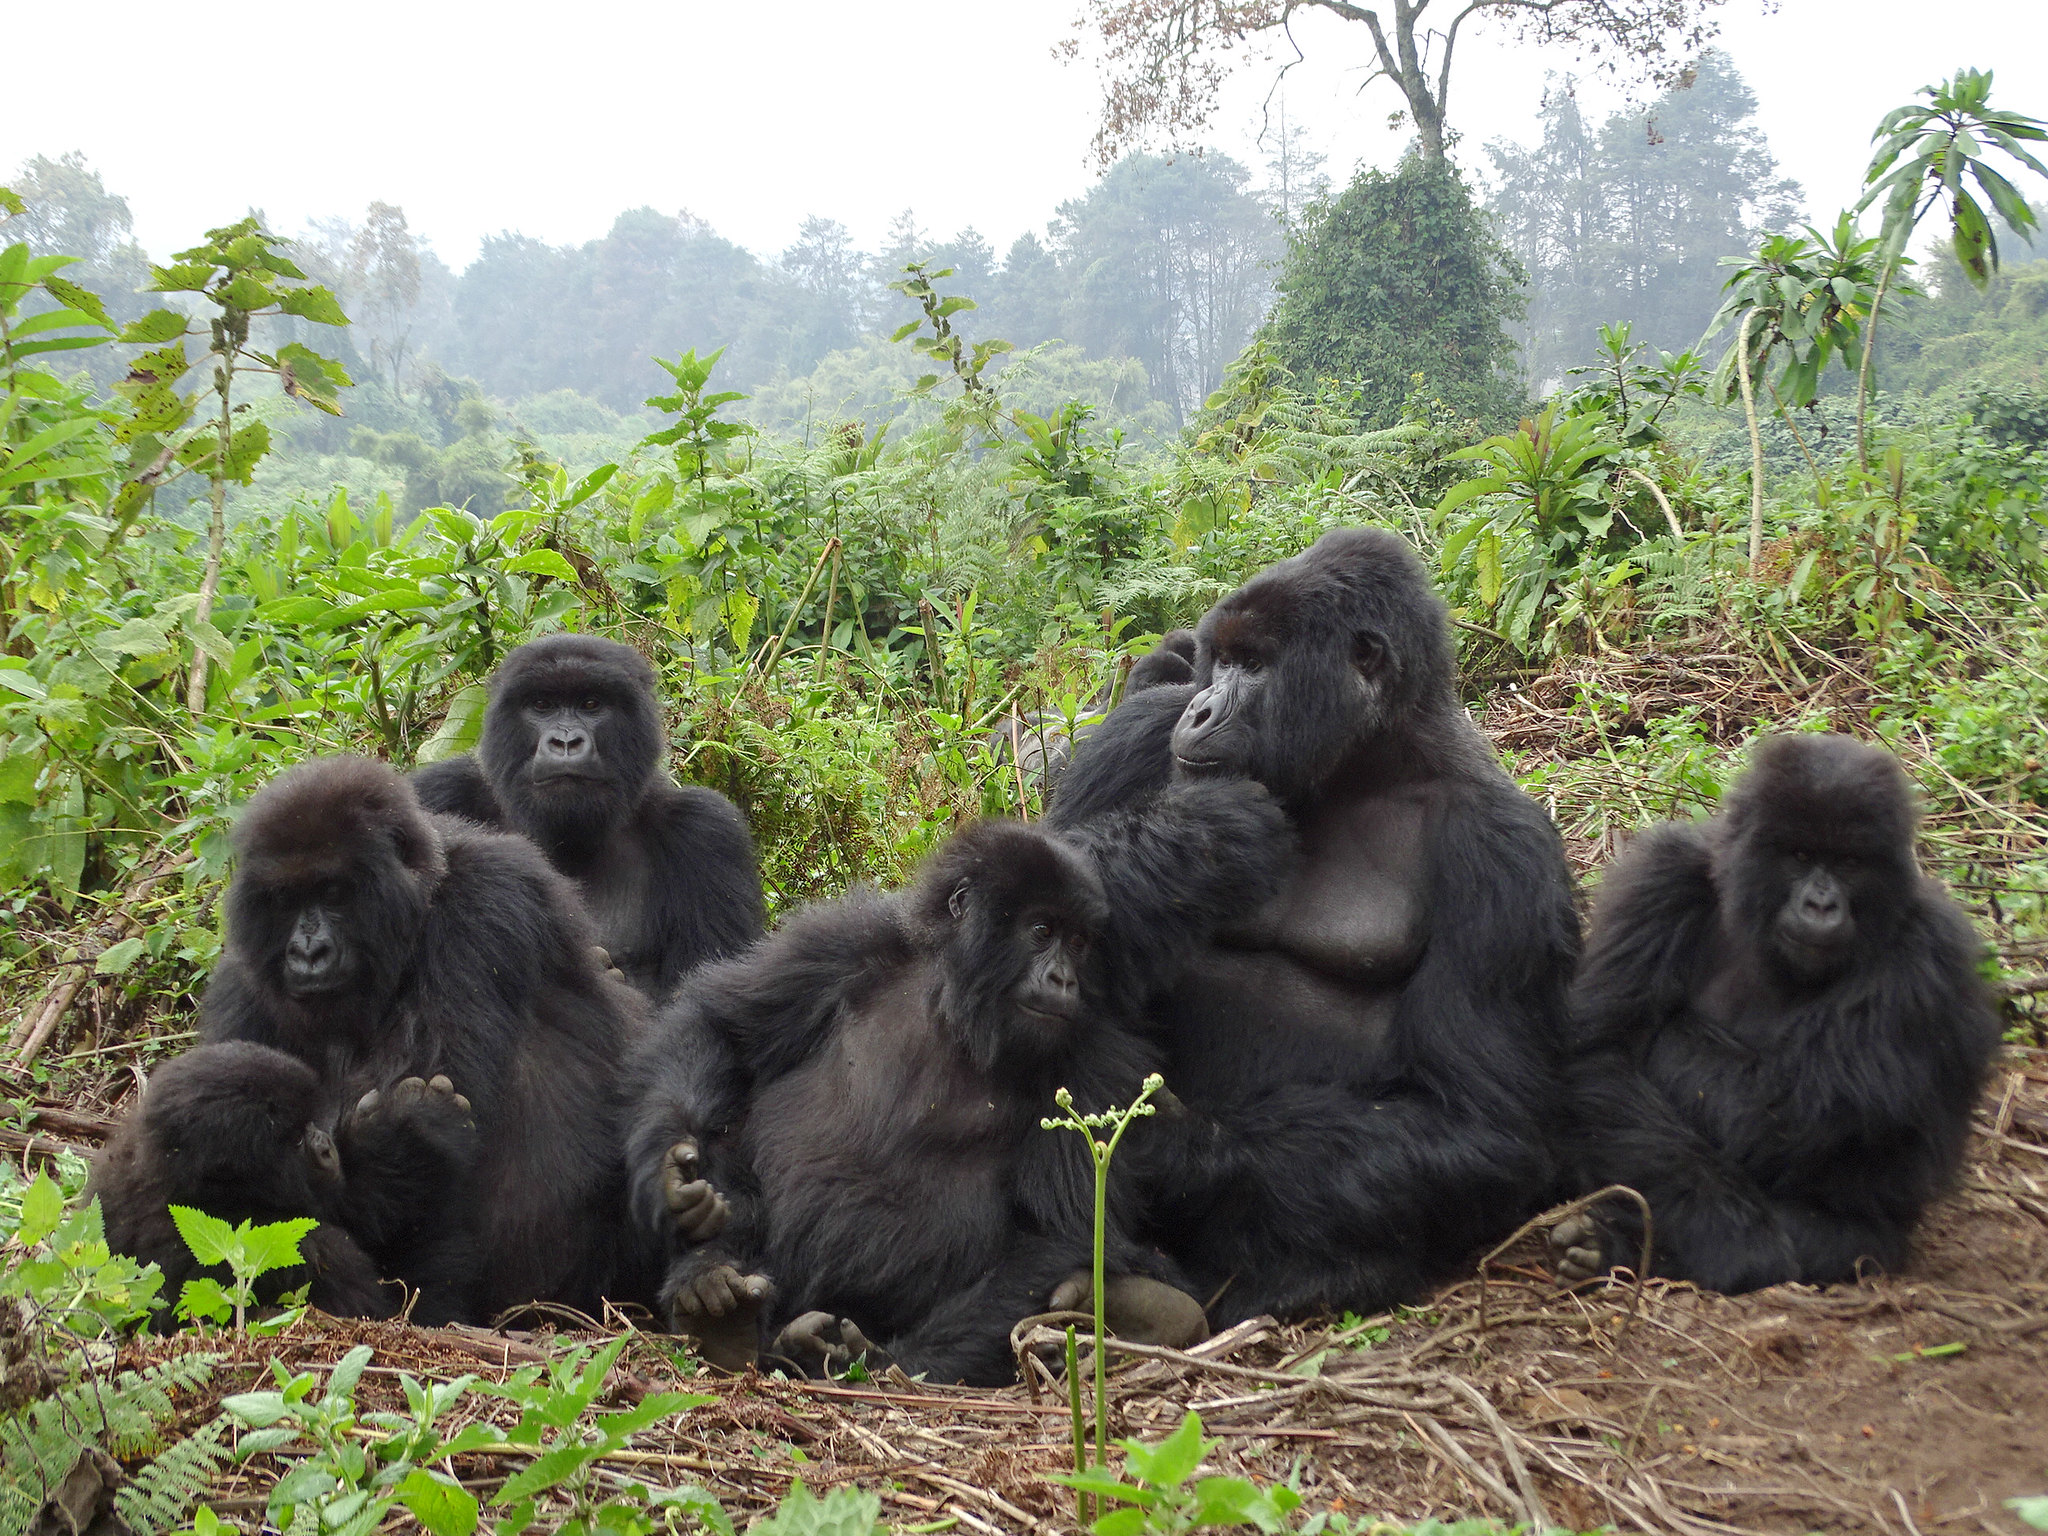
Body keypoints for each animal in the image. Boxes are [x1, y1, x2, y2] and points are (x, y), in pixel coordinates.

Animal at [190, 757, 647, 1327]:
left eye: (334, 893)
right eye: (285, 899)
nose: (308, 953)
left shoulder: (486, 901)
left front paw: (397, 1140)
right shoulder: (244, 978)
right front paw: (398, 1140)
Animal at [630, 786, 1286, 1392]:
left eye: (1078, 942)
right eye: (1041, 930)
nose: (1064, 979)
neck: (956, 1006)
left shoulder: (1094, 1059)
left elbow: (1062, 1234)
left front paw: (888, 1367)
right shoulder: (841, 943)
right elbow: (721, 1024)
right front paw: (670, 1178)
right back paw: (714, 1290)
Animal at [1048, 528, 1572, 1327]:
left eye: (1257, 665)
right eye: (1221, 659)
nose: (1201, 709)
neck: (1360, 767)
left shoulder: (1508, 857)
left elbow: (1484, 1122)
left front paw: (1171, 1145)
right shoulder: (1136, 733)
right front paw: (1197, 842)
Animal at [1548, 741, 1998, 1294]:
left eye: (1850, 863)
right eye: (1800, 856)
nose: (1821, 904)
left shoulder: (1928, 952)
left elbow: (1771, 1109)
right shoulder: (1663, 878)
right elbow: (1605, 1051)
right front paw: (1732, 1240)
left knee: (1848, 1239)